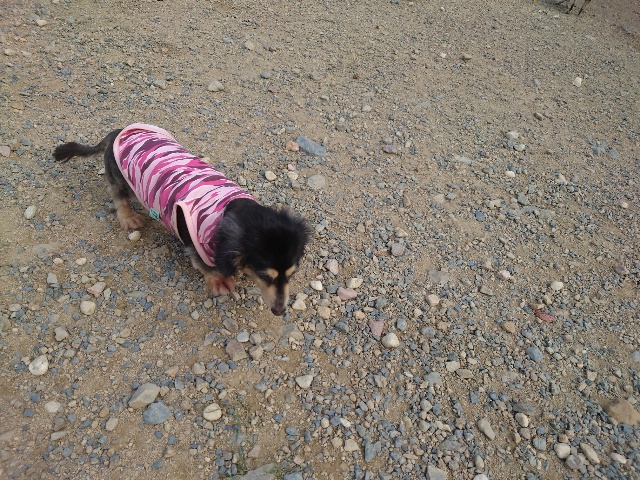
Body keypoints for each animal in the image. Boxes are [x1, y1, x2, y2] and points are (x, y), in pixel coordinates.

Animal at [53, 123, 310, 316]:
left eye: (292, 274)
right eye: (265, 275)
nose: (280, 311)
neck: (231, 208)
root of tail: (117, 132)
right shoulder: (194, 242)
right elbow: (206, 266)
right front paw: (220, 281)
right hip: (118, 177)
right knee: (119, 198)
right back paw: (128, 218)